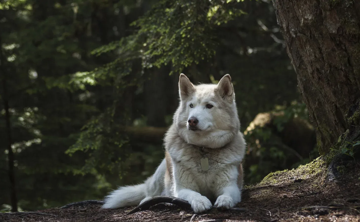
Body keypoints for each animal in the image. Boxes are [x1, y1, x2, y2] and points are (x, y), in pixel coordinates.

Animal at [102, 73, 246, 212]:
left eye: (209, 106)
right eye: (191, 105)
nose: (191, 121)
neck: (203, 149)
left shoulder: (231, 186)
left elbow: (227, 194)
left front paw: (224, 201)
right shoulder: (182, 188)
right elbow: (194, 194)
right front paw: (200, 201)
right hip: (161, 172)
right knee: (151, 193)